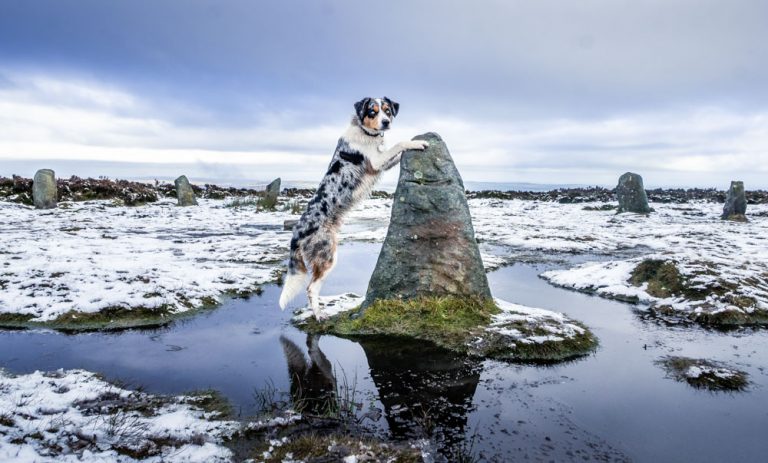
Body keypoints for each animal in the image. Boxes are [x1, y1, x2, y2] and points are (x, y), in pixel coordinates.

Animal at [280, 95, 428, 318]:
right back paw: (319, 315)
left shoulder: (382, 162)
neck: (367, 134)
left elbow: (395, 152)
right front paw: (417, 142)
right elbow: (399, 143)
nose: (386, 122)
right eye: (372, 111)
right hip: (328, 256)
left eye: (387, 110)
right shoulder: (376, 161)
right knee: (311, 288)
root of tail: (297, 233)